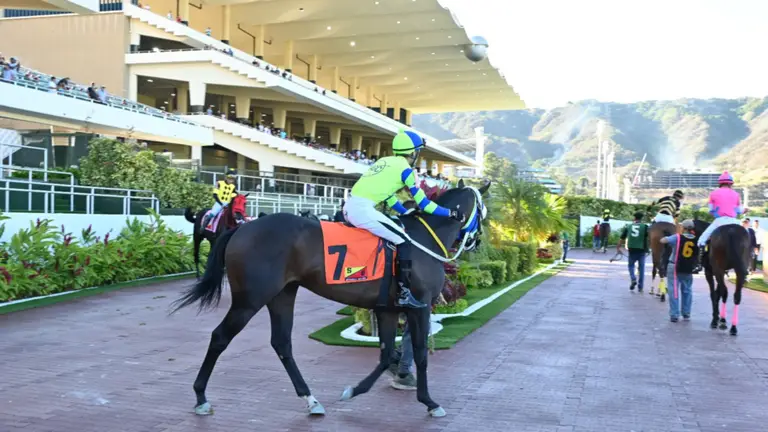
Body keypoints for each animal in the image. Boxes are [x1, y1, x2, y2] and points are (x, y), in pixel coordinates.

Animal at [170, 180, 489, 418]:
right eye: (483, 211)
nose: (477, 241)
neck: (422, 239)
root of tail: (242, 228)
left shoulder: (387, 308)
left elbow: (387, 354)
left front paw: (354, 390)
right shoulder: (419, 307)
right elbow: (420, 353)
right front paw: (430, 402)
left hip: (282, 294)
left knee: (282, 343)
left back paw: (310, 400)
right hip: (250, 299)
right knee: (220, 337)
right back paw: (201, 397)